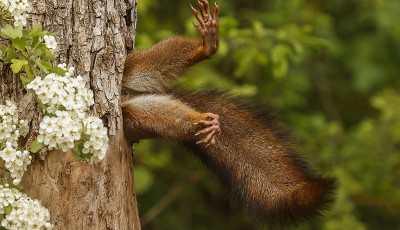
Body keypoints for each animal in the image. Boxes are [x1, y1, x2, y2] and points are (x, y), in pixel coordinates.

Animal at [121, 0, 334, 226]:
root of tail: (127, 95)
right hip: (133, 117)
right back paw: (202, 122)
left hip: (132, 68)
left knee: (153, 62)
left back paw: (207, 46)